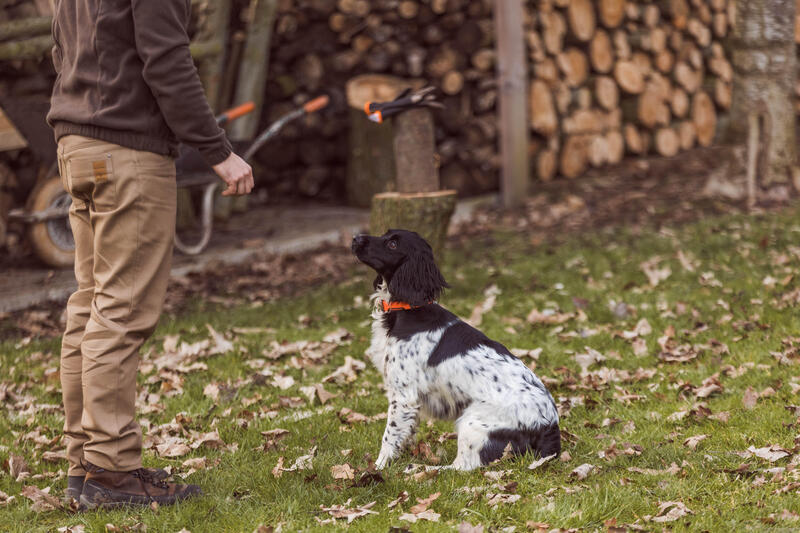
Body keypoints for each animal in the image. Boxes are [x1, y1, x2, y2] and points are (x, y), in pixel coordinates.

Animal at [354, 229, 560, 470]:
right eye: (385, 234)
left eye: (393, 244)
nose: (356, 238)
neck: (408, 310)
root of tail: (551, 426)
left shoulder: (403, 395)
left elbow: (389, 436)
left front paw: (378, 467)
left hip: (472, 421)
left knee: (462, 467)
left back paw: (421, 469)